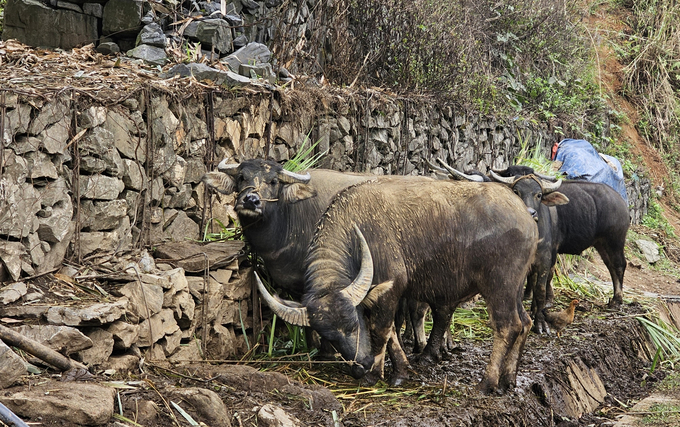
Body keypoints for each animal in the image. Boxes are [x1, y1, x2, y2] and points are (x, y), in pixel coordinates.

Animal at [258, 178, 540, 394]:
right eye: (329, 337)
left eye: (353, 324)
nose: (359, 366)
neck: (356, 225)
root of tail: (525, 216)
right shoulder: (378, 297)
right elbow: (392, 333)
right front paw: (401, 371)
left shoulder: (392, 288)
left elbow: (381, 330)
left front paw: (376, 374)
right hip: (515, 289)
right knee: (525, 323)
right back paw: (508, 379)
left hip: (499, 286)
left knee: (507, 326)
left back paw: (488, 382)